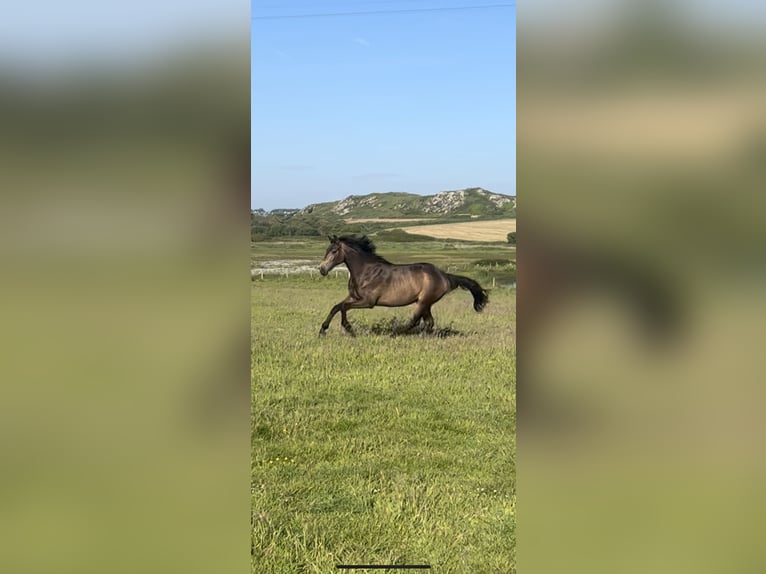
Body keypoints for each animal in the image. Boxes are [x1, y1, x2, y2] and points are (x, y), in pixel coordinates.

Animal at [320, 235, 492, 338]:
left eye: (334, 251)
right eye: (327, 250)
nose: (322, 269)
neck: (366, 271)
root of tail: (445, 276)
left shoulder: (368, 302)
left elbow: (343, 308)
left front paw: (349, 329)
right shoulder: (353, 297)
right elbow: (336, 307)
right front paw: (323, 330)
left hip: (423, 301)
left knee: (415, 321)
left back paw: (396, 333)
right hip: (426, 304)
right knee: (429, 322)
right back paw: (423, 336)